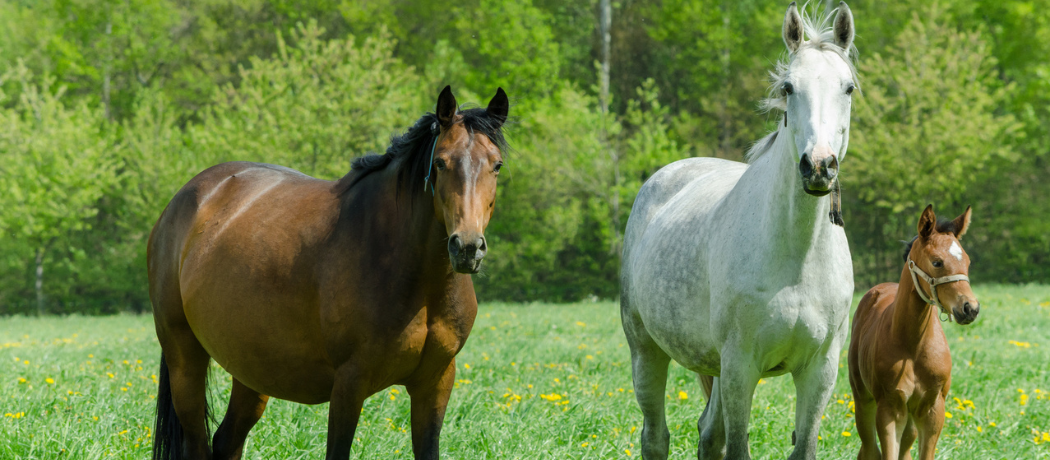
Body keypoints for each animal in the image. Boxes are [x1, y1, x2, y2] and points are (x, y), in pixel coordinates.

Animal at [147, 85, 509, 460]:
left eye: (496, 164)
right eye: (440, 162)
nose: (467, 246)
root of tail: (184, 200)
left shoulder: (435, 381)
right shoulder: (350, 383)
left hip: (250, 371)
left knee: (226, 441)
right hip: (184, 358)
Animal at [620, 3, 858, 459]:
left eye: (849, 88)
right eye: (789, 87)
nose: (819, 166)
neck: (797, 257)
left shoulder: (820, 370)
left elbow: (802, 446)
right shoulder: (739, 366)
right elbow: (738, 447)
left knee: (708, 435)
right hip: (646, 350)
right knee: (655, 437)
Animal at [848, 205, 979, 460]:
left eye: (967, 261)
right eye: (937, 262)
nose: (970, 308)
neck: (913, 344)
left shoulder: (932, 407)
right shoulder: (890, 407)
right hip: (863, 399)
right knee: (869, 448)